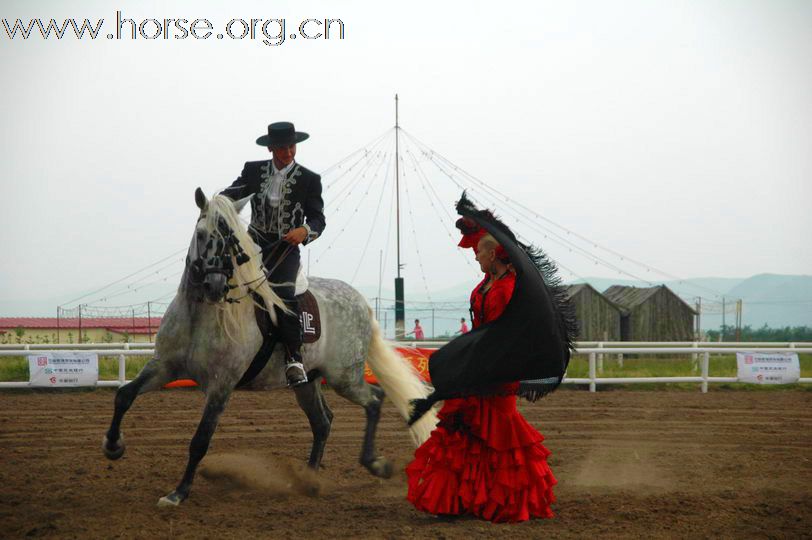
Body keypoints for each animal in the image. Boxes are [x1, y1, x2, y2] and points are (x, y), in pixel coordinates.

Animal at [103, 189, 438, 506]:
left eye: (230, 241)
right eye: (201, 235)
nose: (214, 287)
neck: (200, 315)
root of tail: (361, 302)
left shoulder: (221, 385)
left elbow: (200, 439)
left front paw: (178, 493)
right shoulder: (164, 366)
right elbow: (124, 395)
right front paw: (113, 446)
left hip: (344, 377)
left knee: (374, 400)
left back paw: (374, 464)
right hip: (308, 381)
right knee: (323, 422)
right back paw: (308, 480)